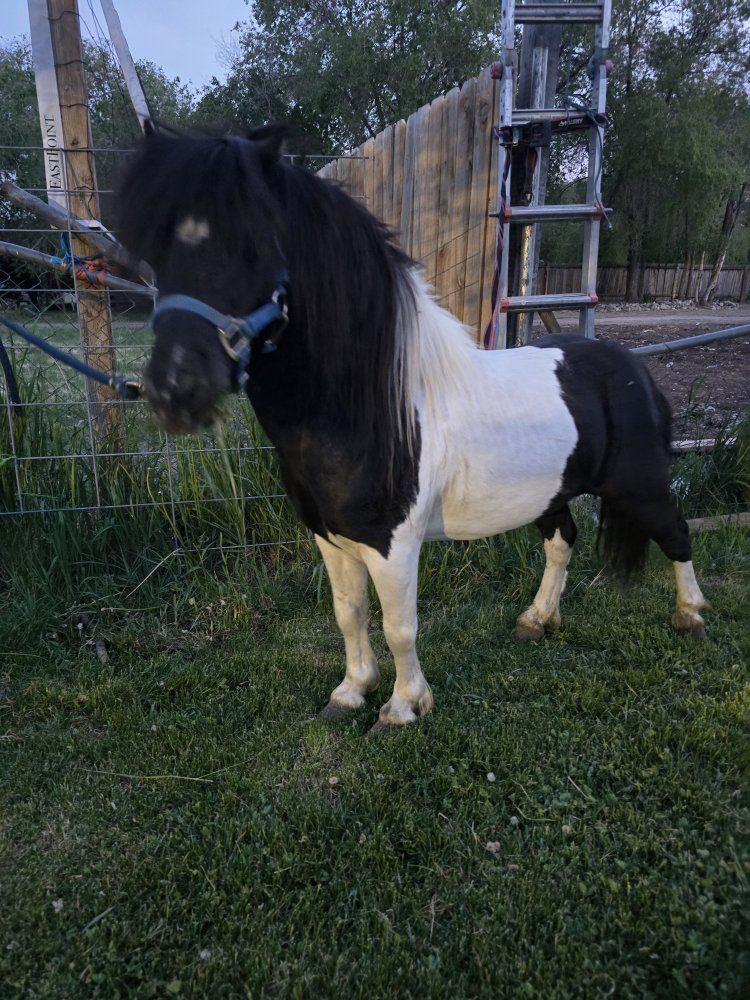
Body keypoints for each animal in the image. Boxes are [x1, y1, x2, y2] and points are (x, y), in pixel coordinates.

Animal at [117, 126, 708, 731]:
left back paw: (690, 615)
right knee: (563, 542)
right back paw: (536, 619)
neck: (371, 413)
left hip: (640, 488)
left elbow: (400, 626)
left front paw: (403, 706)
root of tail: (632, 367)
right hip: (551, 494)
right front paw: (351, 692)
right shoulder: (331, 538)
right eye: (156, 253)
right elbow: (349, 614)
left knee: (677, 534)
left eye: (252, 246)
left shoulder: (392, 543)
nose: (175, 389)